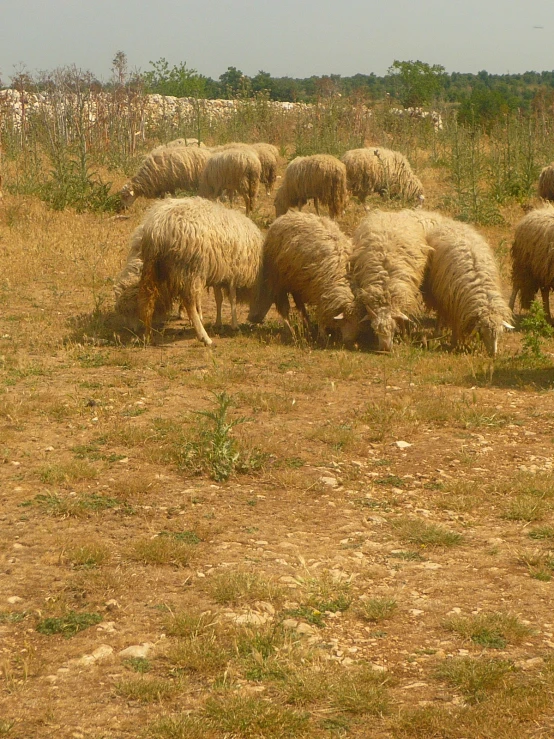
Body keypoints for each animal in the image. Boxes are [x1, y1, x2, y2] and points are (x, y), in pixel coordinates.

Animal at [247, 210, 358, 342]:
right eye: (347, 320)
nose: (349, 340)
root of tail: (289, 214)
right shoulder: (319, 292)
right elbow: (320, 314)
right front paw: (323, 335)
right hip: (280, 278)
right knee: (285, 307)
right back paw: (291, 331)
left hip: (297, 282)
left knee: (299, 305)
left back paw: (307, 326)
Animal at [348, 208, 434, 352]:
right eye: (375, 329)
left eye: (393, 328)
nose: (384, 349)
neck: (385, 287)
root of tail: (390, 213)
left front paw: (404, 336)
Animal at [420, 220, 512, 358]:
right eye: (483, 333)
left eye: (499, 334)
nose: (493, 354)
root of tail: (452, 223)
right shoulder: (453, 304)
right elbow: (455, 324)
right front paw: (453, 342)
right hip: (440, 293)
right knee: (440, 313)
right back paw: (438, 331)